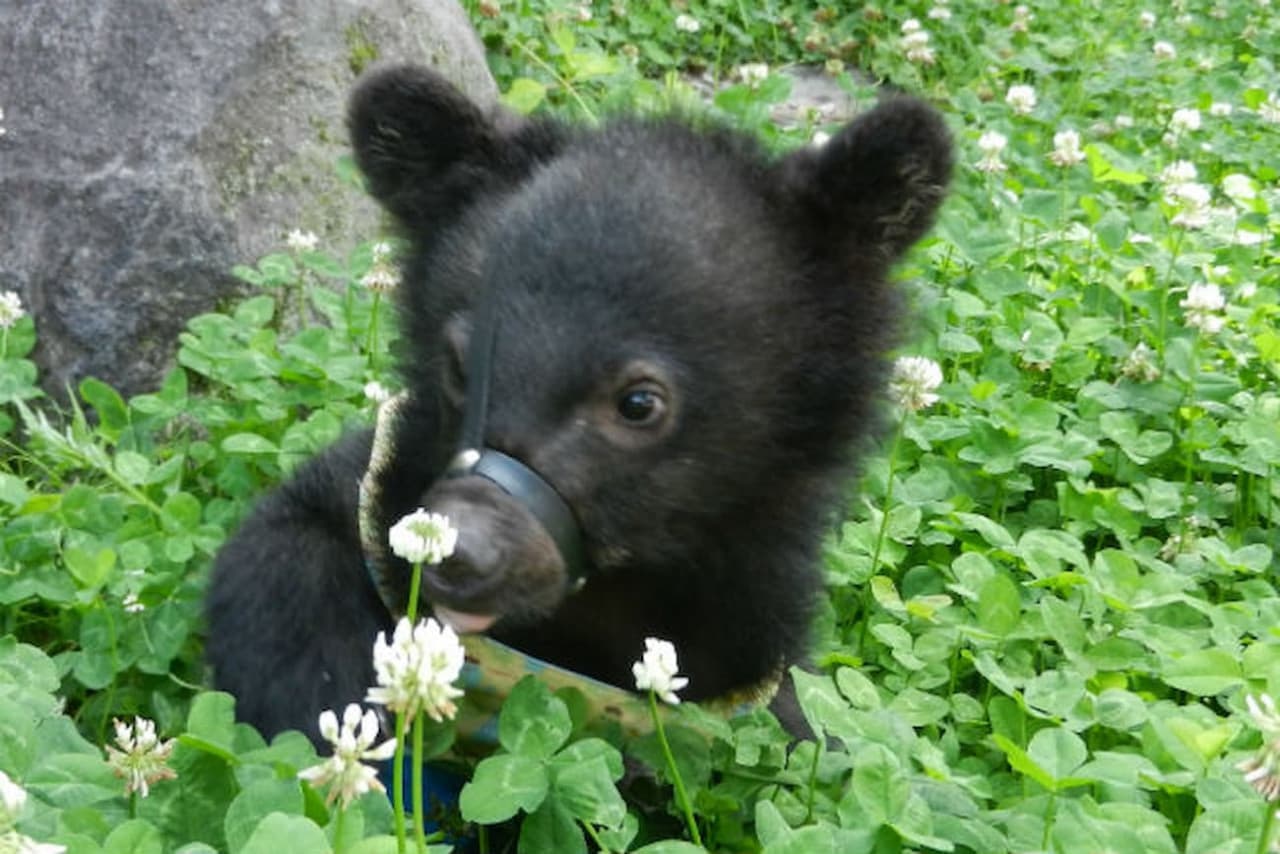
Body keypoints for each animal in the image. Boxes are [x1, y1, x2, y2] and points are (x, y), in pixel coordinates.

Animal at [205, 63, 952, 745]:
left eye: (639, 403)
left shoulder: (746, 659)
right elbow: (284, 559)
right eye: (458, 363)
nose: (458, 549)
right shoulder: (368, 491)